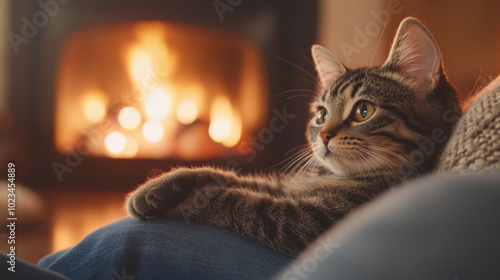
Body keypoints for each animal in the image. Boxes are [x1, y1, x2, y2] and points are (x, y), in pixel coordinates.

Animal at [126, 17, 460, 258]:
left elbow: (240, 199)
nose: (323, 135)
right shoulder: (285, 186)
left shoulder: (310, 221)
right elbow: (229, 177)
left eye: (364, 111)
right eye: (321, 114)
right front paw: (160, 186)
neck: (335, 176)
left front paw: (188, 202)